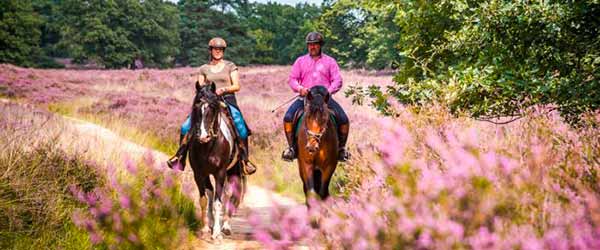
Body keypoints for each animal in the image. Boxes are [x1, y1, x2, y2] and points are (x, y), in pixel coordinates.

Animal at [188, 82, 244, 240]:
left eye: (212, 108)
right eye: (196, 106)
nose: (203, 136)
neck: (208, 146)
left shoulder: (220, 173)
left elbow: (218, 202)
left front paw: (217, 234)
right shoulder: (199, 174)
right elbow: (204, 199)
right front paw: (206, 228)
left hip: (233, 171)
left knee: (229, 195)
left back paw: (225, 226)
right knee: (212, 193)